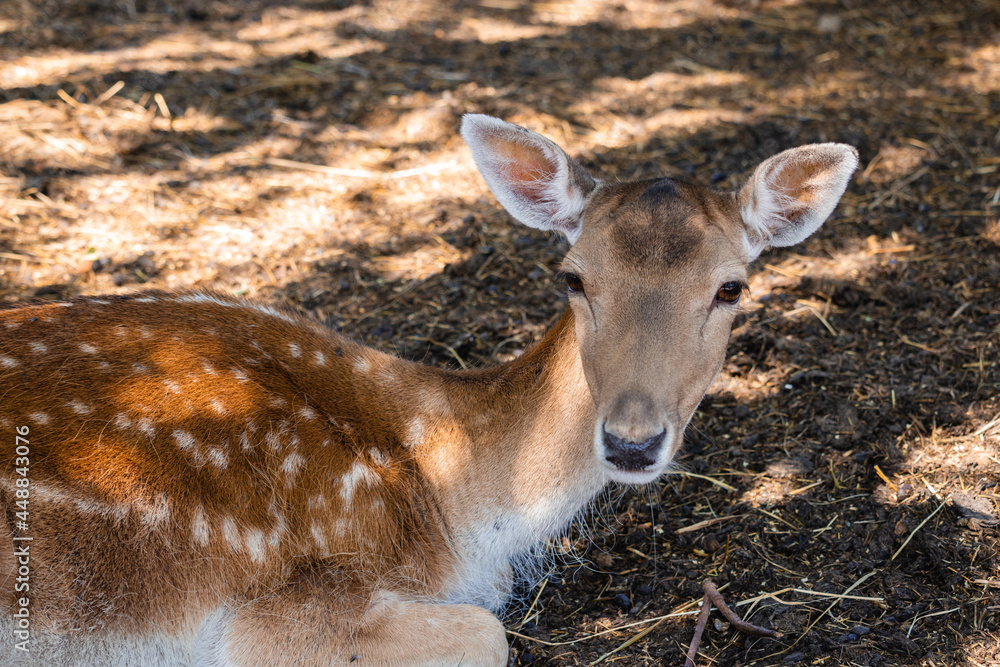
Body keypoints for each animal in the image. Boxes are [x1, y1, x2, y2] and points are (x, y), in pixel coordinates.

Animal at [1, 113, 860, 664]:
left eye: (731, 287)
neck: (460, 512)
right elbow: (489, 634)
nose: (631, 441)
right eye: (574, 276)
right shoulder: (276, 615)